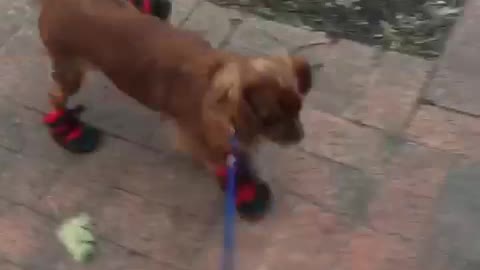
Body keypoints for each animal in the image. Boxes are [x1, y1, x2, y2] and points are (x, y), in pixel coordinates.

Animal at [39, 0, 314, 219]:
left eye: (299, 108)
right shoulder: (197, 139)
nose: (300, 138)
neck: (214, 79)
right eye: (269, 118)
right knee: (55, 98)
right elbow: (220, 161)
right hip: (70, 71)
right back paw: (68, 129)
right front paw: (242, 190)